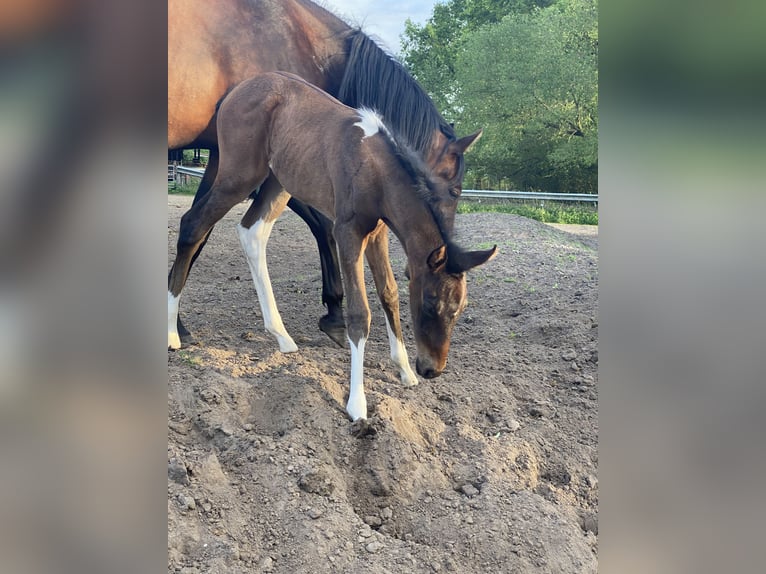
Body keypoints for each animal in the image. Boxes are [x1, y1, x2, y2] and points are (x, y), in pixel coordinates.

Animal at [166, 73, 498, 424]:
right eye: (431, 302)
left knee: (251, 232)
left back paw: (281, 335)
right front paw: (358, 404)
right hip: (239, 175)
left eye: (460, 308)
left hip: (278, 181)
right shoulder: (347, 231)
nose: (433, 369)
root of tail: (233, 93)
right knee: (193, 224)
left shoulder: (377, 232)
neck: (375, 166)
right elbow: (360, 313)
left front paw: (405, 371)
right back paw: (173, 333)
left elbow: (389, 293)